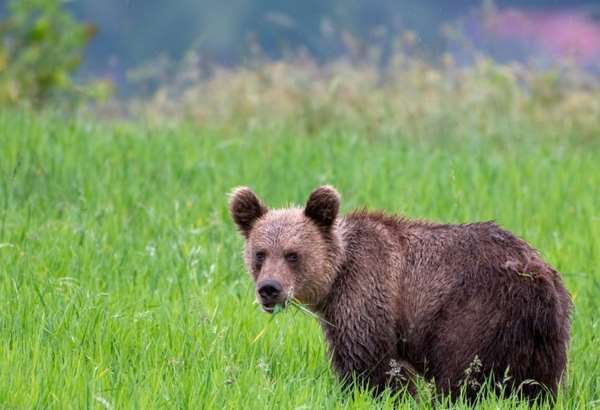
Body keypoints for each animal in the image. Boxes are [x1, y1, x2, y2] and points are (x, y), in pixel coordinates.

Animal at [227, 185, 568, 400]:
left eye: (292, 254)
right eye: (260, 254)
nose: (269, 289)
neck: (337, 275)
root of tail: (537, 275)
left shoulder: (366, 292)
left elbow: (370, 364)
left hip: (476, 312)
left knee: (461, 373)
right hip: (542, 334)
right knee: (538, 385)